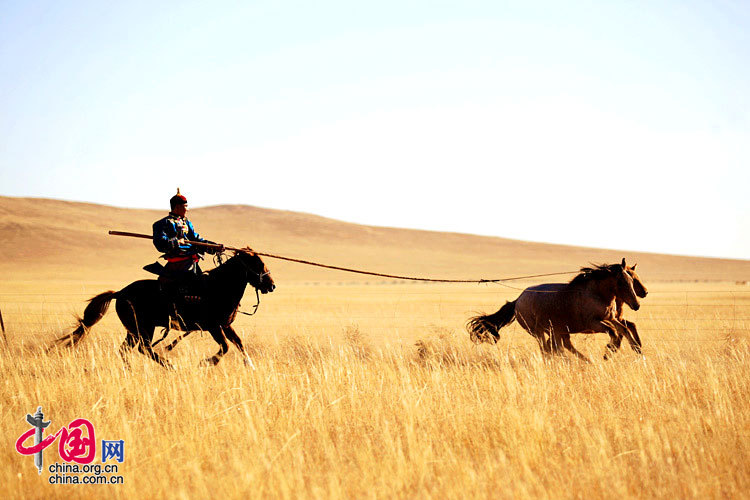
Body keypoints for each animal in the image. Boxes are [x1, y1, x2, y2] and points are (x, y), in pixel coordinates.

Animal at [53, 249, 276, 368]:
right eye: (258, 263)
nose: (271, 285)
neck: (219, 286)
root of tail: (121, 292)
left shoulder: (225, 325)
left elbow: (238, 343)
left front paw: (250, 365)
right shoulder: (214, 326)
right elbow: (226, 347)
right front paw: (205, 363)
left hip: (134, 330)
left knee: (126, 349)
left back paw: (130, 369)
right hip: (143, 328)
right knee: (144, 348)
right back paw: (170, 366)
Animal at [468, 260, 644, 362]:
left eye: (631, 279)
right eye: (622, 281)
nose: (636, 304)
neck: (595, 293)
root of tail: (518, 300)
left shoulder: (611, 318)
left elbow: (624, 329)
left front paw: (635, 349)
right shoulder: (593, 323)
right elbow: (614, 332)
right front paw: (608, 351)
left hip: (557, 331)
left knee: (560, 346)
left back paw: (582, 361)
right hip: (538, 331)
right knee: (547, 348)